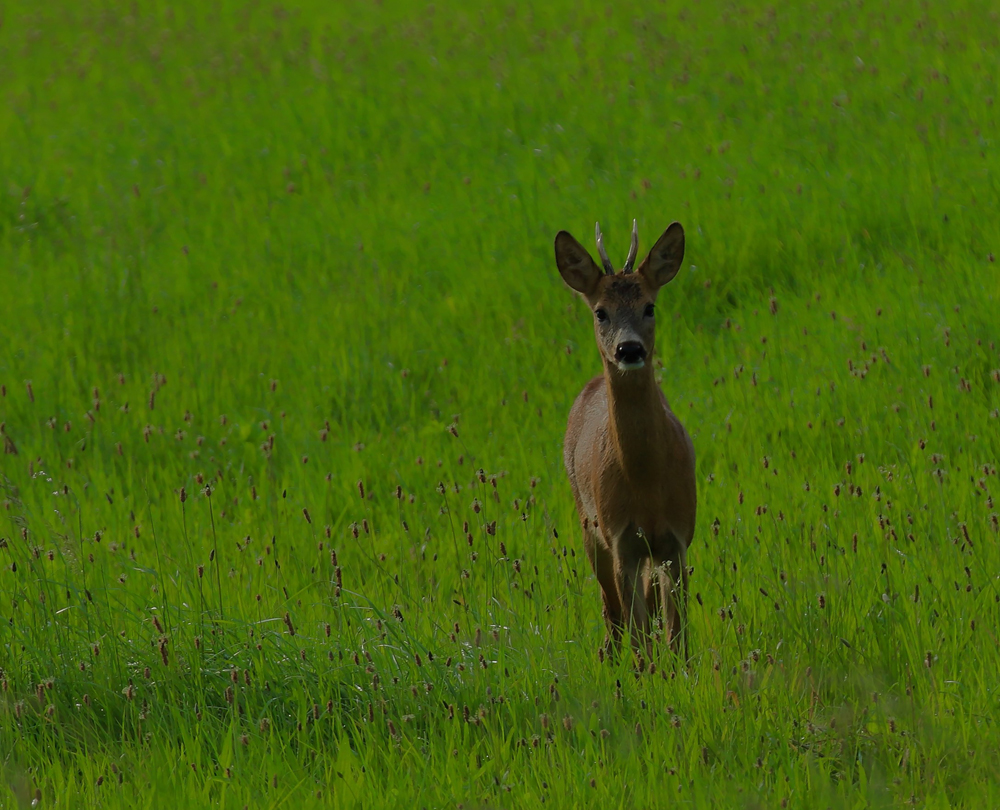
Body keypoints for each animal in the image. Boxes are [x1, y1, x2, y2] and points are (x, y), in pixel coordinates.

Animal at [556, 219, 696, 656]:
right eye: (601, 312)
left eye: (650, 306)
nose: (629, 349)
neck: (647, 483)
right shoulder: (621, 540)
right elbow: (640, 642)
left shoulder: (677, 538)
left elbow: (676, 637)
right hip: (588, 525)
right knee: (612, 612)